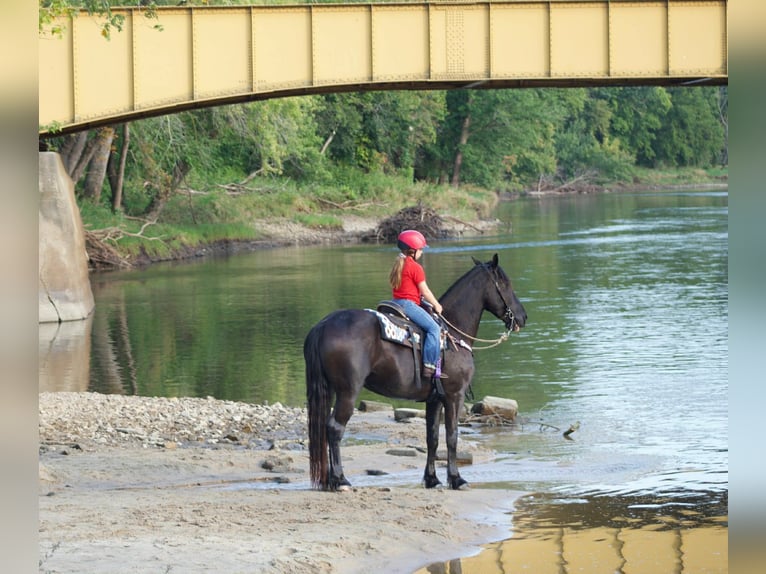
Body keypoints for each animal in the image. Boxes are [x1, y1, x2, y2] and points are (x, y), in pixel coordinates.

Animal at [304, 253, 527, 491]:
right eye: (505, 284)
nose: (522, 317)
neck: (452, 331)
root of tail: (323, 325)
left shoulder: (434, 399)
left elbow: (432, 438)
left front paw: (432, 479)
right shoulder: (454, 396)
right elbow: (452, 436)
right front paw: (456, 479)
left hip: (331, 390)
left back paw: (330, 480)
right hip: (348, 392)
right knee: (335, 428)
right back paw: (341, 480)